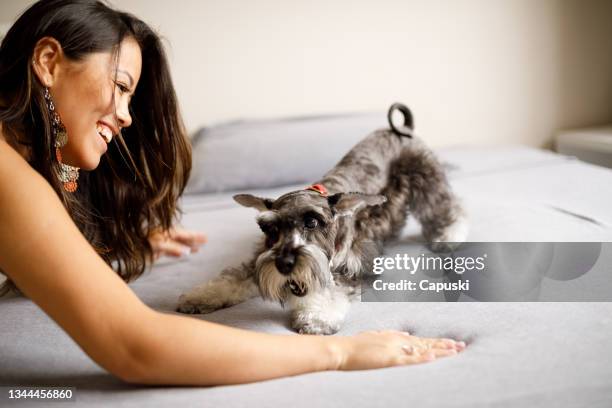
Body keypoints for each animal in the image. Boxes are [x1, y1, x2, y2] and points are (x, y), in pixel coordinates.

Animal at [177, 103, 468, 334]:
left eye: (312, 222)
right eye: (270, 229)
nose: (284, 264)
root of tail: (402, 130)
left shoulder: (353, 265)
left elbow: (332, 289)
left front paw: (316, 317)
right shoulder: (260, 257)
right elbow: (234, 276)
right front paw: (200, 296)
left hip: (426, 180)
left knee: (447, 208)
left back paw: (449, 236)